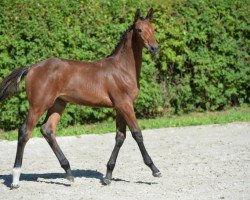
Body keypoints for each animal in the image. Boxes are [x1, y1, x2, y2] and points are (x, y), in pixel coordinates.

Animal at [0, 8, 160, 189]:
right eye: (139, 30)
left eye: (153, 29)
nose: (155, 48)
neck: (121, 69)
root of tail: (32, 67)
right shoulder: (125, 105)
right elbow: (137, 133)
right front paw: (154, 169)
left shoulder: (120, 107)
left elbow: (120, 137)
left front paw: (108, 175)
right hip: (38, 105)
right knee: (25, 132)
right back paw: (15, 179)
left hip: (58, 104)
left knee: (47, 130)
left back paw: (69, 173)